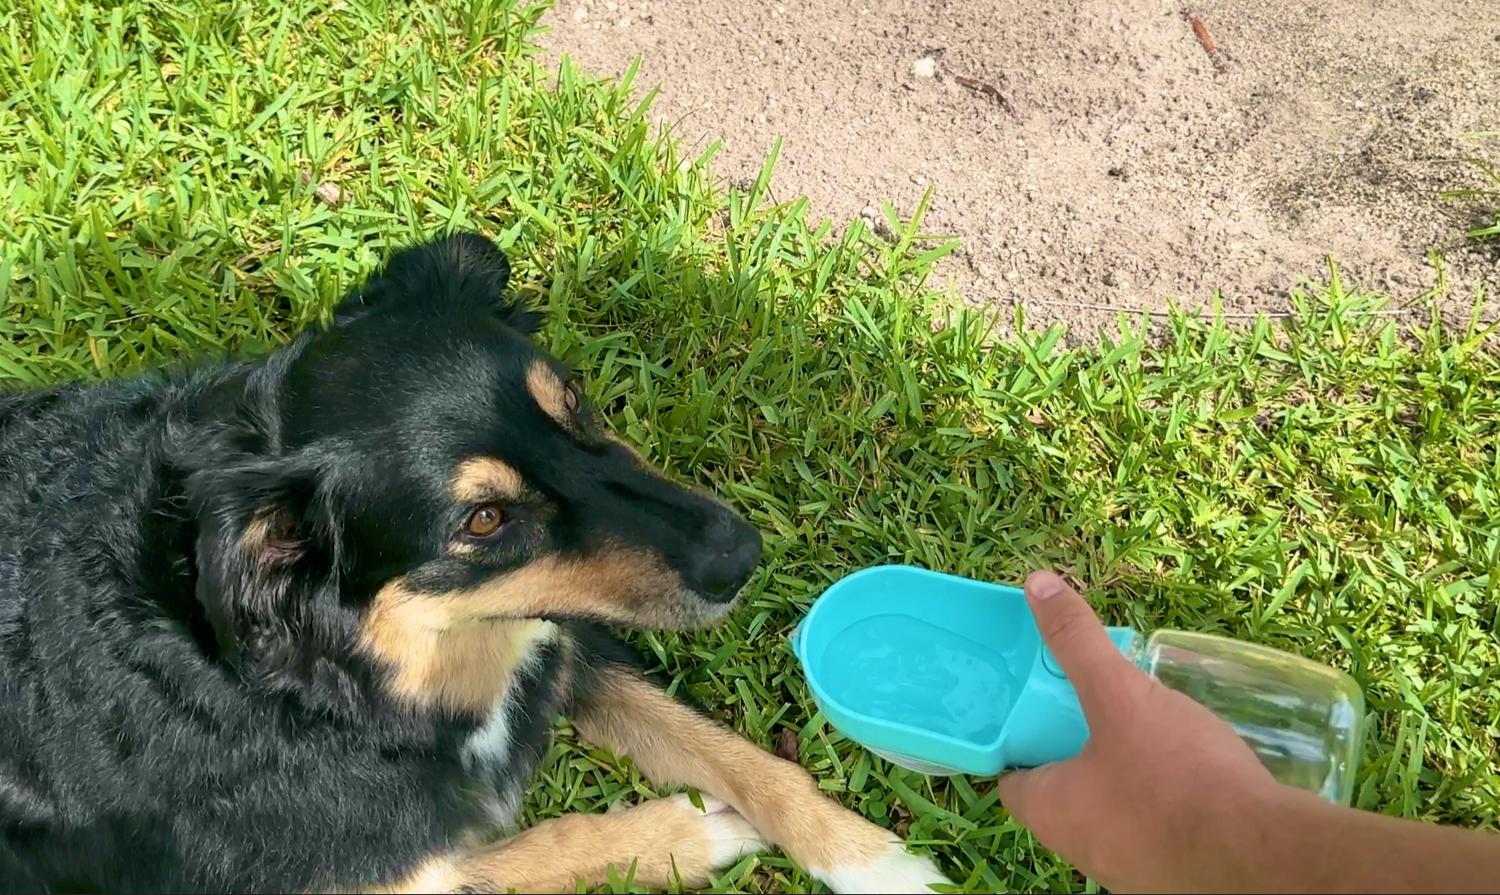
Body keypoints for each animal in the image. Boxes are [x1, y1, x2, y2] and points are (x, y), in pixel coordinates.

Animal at [0, 232, 948, 893]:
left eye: (575, 403)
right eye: (484, 519)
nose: (740, 555)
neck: (339, 678)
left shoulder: (560, 643)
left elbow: (734, 749)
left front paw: (871, 856)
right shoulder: (359, 876)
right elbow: (556, 844)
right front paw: (703, 831)